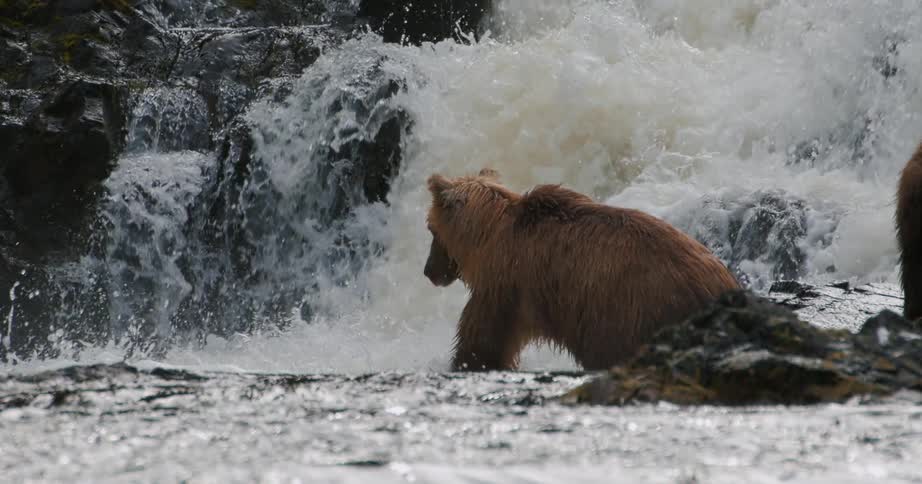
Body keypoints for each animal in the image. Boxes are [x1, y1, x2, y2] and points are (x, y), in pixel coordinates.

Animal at [423, 168, 741, 371]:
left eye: (430, 229)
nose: (428, 271)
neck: (488, 237)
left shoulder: (506, 283)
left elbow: (482, 338)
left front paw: (464, 362)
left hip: (639, 309)